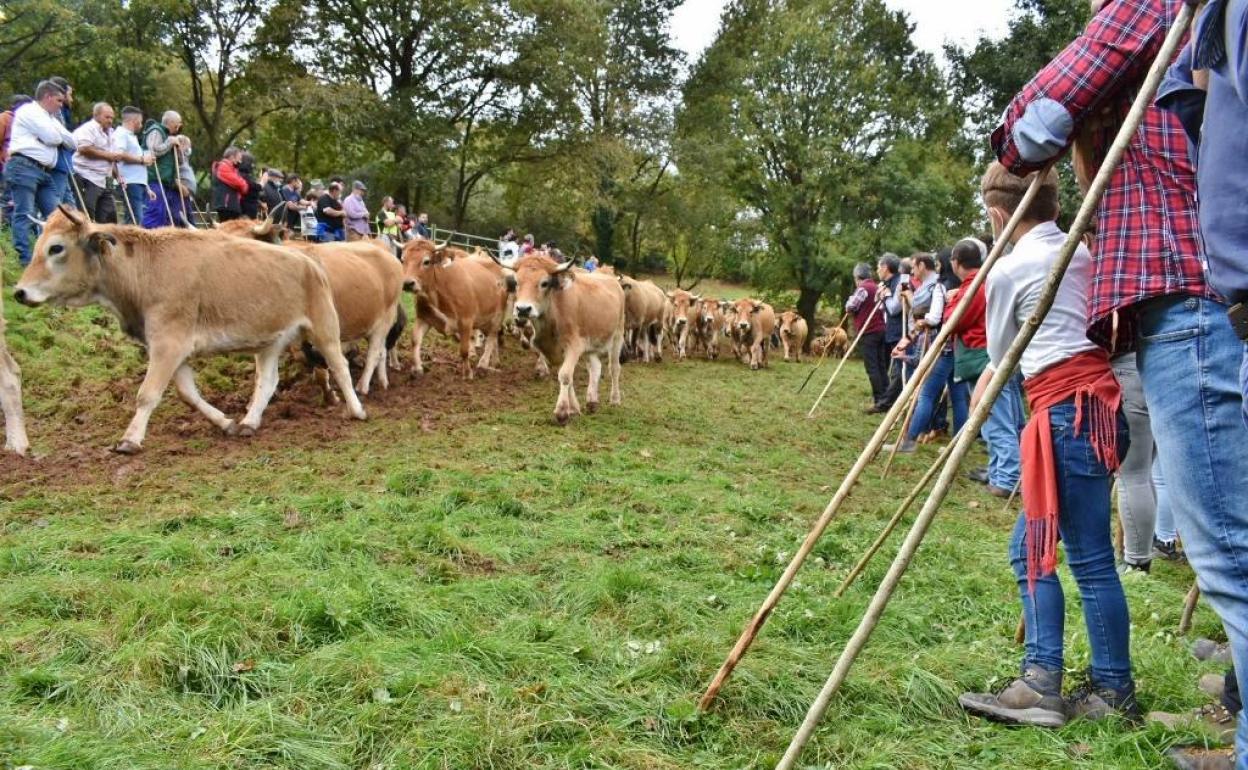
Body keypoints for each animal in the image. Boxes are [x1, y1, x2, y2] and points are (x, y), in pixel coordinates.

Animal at [14, 207, 364, 454]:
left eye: (56, 248)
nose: (19, 292)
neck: (146, 268)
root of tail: (309, 262)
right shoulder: (172, 350)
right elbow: (187, 394)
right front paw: (226, 423)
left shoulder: (168, 345)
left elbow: (147, 394)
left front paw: (130, 440)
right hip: (270, 343)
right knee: (266, 382)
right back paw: (249, 422)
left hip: (324, 329)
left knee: (340, 366)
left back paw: (357, 411)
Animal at [218, 214, 404, 396]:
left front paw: (330, 392)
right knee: (382, 350)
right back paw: (382, 381)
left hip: (386, 318)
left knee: (375, 352)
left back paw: (363, 385)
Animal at [404, 237, 511, 374]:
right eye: (403, 259)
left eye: (426, 261)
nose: (407, 283)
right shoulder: (424, 317)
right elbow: (415, 341)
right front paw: (417, 368)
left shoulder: (466, 321)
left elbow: (464, 350)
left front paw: (467, 372)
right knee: (494, 339)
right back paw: (494, 362)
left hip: (497, 316)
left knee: (492, 337)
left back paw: (483, 363)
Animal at [506, 252, 624, 424]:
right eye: (516, 282)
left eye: (544, 283)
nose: (523, 309)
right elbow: (569, 376)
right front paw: (574, 408)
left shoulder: (574, 345)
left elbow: (565, 375)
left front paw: (562, 411)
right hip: (590, 341)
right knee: (595, 367)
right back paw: (592, 401)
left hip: (617, 336)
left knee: (614, 368)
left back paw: (615, 399)